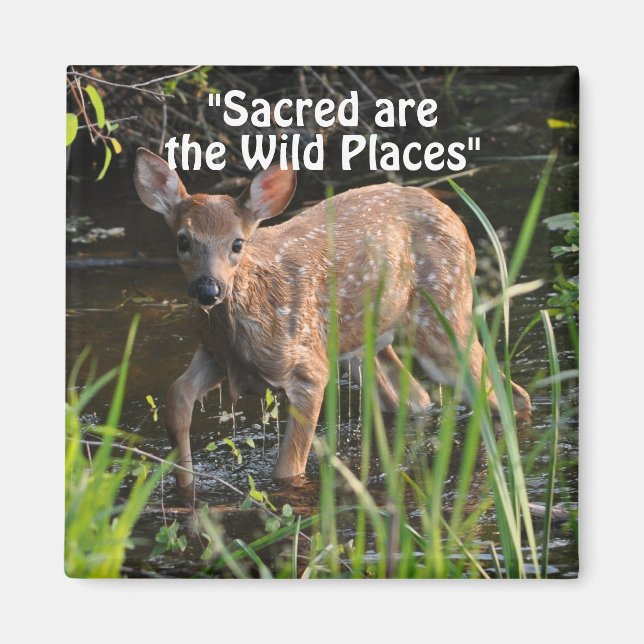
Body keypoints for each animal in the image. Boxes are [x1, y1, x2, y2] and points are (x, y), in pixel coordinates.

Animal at [134, 148, 531, 491]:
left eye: (237, 243)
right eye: (183, 240)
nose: (207, 289)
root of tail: (455, 219)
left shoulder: (308, 369)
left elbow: (287, 469)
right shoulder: (217, 355)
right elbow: (177, 395)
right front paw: (185, 483)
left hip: (444, 314)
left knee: (507, 395)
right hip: (366, 342)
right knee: (415, 397)